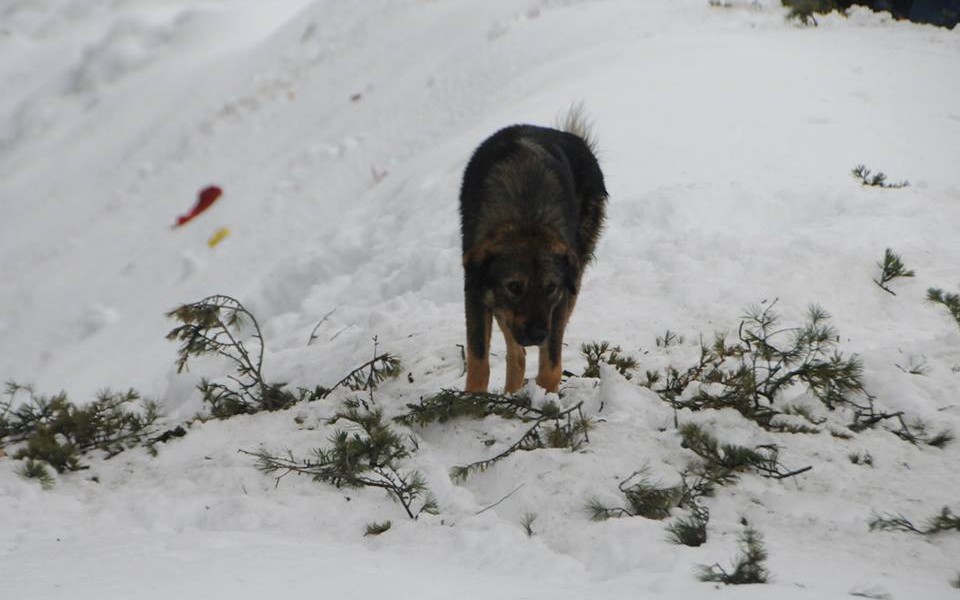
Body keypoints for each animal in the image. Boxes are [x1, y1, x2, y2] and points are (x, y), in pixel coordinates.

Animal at [459, 107, 607, 394]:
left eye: (551, 287)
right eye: (514, 286)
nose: (538, 335)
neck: (526, 218)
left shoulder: (560, 300)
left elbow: (551, 366)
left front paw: (546, 398)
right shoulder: (477, 291)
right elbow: (479, 361)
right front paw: (473, 400)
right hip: (500, 306)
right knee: (516, 353)